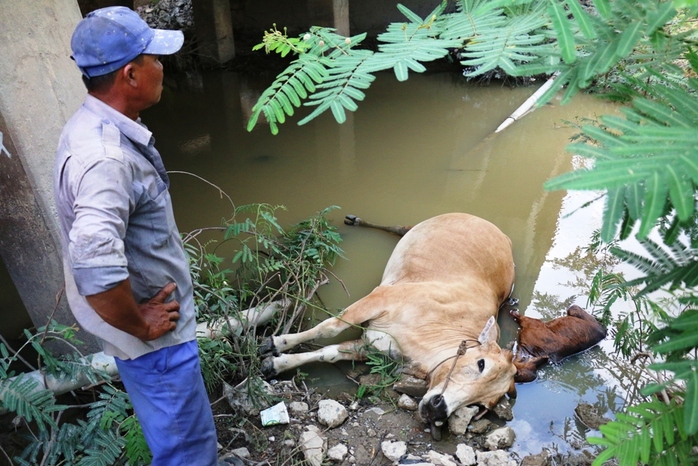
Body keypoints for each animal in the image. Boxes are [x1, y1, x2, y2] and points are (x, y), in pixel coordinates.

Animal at [260, 213, 516, 436]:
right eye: (481, 364)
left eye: (481, 407)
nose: (438, 411)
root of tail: (502, 234)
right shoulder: (381, 298)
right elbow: (328, 328)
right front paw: (275, 342)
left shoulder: (371, 346)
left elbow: (328, 353)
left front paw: (276, 363)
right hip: (417, 227)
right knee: (400, 227)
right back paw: (356, 220)